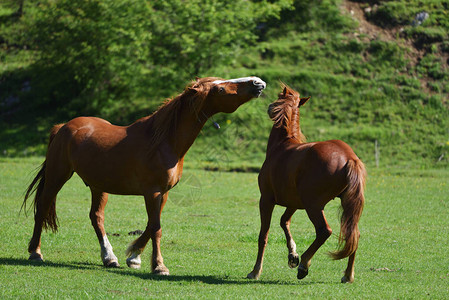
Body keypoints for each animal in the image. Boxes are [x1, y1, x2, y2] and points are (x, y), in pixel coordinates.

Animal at [21, 75, 266, 274]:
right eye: (220, 89)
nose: (258, 83)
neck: (163, 142)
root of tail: (63, 126)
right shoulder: (153, 192)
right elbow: (156, 229)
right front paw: (159, 266)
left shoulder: (163, 193)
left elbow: (151, 225)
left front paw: (134, 257)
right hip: (57, 176)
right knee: (42, 207)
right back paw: (36, 252)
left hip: (99, 186)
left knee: (96, 217)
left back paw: (109, 257)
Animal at [247, 85, 366, 284]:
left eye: (278, 97)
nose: (269, 106)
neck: (282, 146)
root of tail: (349, 157)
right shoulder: (294, 203)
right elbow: (284, 222)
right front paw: (292, 255)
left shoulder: (266, 200)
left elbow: (263, 235)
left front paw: (256, 271)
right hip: (343, 204)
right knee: (353, 234)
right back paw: (348, 275)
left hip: (314, 206)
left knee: (324, 231)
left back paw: (304, 264)